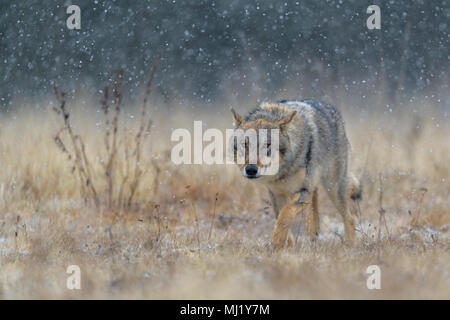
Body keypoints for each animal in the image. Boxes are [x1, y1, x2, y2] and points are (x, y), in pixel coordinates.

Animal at [230, 100, 360, 248]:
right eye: (245, 144)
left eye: (267, 145)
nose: (251, 169)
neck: (283, 171)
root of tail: (330, 108)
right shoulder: (277, 194)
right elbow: (282, 219)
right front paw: (285, 247)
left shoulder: (302, 191)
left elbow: (284, 217)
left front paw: (276, 244)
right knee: (314, 212)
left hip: (333, 189)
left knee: (350, 217)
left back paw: (349, 246)